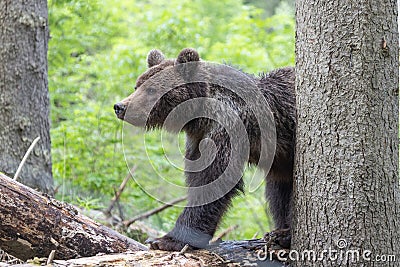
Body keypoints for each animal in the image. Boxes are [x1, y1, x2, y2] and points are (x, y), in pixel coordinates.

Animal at [114, 47, 296, 251]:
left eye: (151, 89)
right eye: (137, 86)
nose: (120, 106)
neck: (200, 114)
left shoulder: (227, 128)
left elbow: (213, 179)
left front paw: (166, 240)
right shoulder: (198, 139)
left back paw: (283, 235)